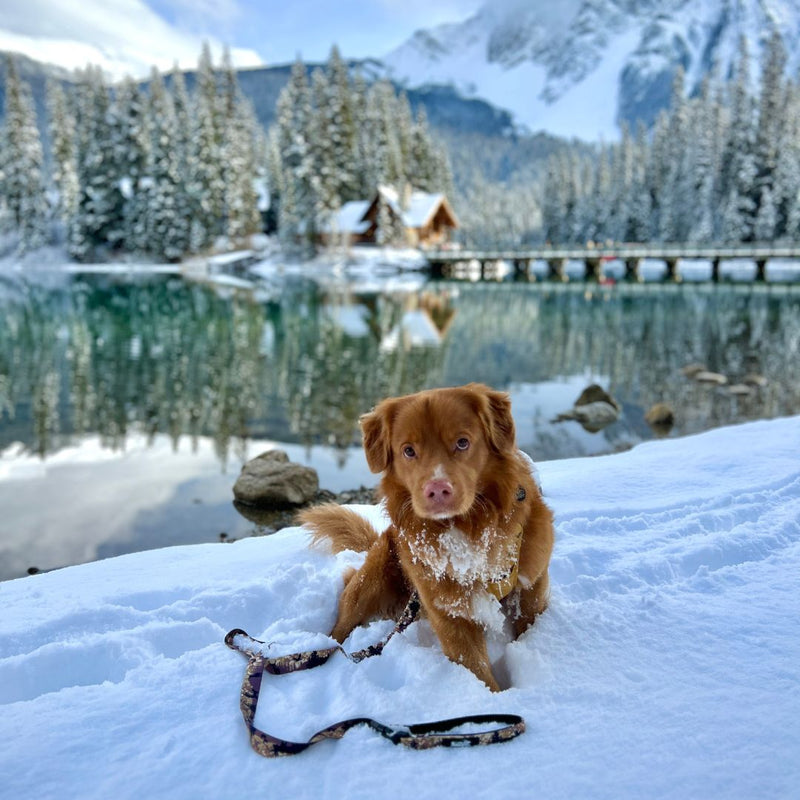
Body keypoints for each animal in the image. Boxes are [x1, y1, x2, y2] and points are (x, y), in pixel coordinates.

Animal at [296, 384, 552, 692]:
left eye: (462, 442)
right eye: (408, 450)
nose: (437, 490)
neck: (467, 531)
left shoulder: (532, 586)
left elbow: (528, 627)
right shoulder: (447, 612)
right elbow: (477, 670)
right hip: (369, 582)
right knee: (340, 629)